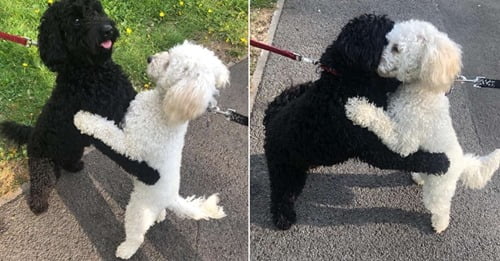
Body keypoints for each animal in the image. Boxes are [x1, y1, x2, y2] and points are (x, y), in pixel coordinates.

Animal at [0, 0, 158, 213]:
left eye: (97, 10)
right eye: (75, 20)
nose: (108, 30)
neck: (92, 72)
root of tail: (32, 133)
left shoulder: (127, 102)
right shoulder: (101, 129)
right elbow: (124, 154)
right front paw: (150, 174)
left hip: (74, 149)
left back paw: (74, 166)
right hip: (42, 163)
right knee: (41, 183)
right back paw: (38, 204)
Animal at [73, 41, 229, 258]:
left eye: (169, 64)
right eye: (170, 52)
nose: (149, 58)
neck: (163, 109)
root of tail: (172, 197)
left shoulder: (131, 146)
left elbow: (107, 130)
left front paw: (83, 119)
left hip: (139, 208)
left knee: (137, 235)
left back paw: (125, 250)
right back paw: (160, 215)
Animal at [264, 14, 452, 230]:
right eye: (386, 39)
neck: (343, 82)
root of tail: (269, 121)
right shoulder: (373, 148)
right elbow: (409, 157)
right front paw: (440, 162)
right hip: (284, 171)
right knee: (281, 194)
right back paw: (283, 217)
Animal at [346, 20, 500, 232]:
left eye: (396, 48)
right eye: (387, 41)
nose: (375, 64)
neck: (422, 89)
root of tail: (461, 162)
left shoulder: (404, 141)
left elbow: (381, 120)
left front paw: (358, 109)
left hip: (438, 190)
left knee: (441, 207)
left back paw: (440, 225)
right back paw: (418, 176)